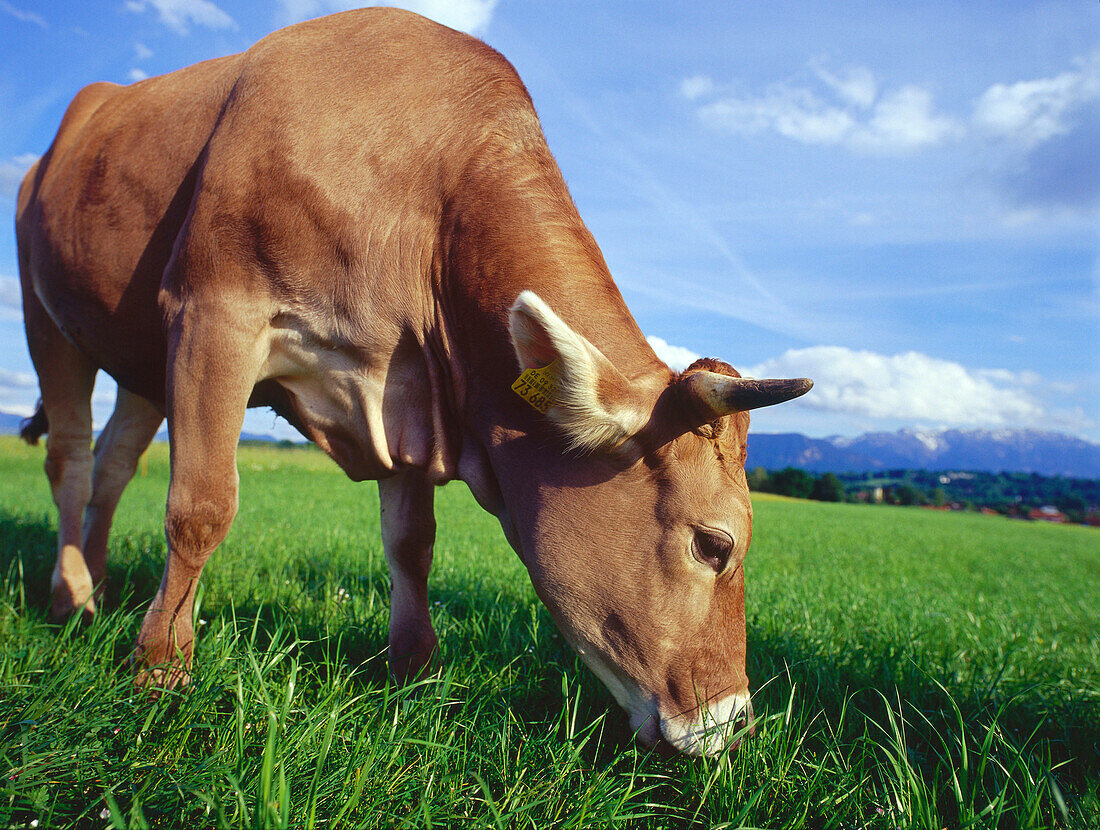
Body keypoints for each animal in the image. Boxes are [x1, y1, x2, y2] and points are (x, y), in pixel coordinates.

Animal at [15, 8, 809, 760]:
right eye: (714, 544)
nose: (735, 723)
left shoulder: (405, 391)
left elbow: (412, 541)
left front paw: (415, 673)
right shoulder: (214, 311)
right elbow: (201, 506)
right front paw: (160, 668)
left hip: (140, 360)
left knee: (115, 463)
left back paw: (101, 582)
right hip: (47, 321)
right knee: (72, 458)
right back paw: (70, 596)